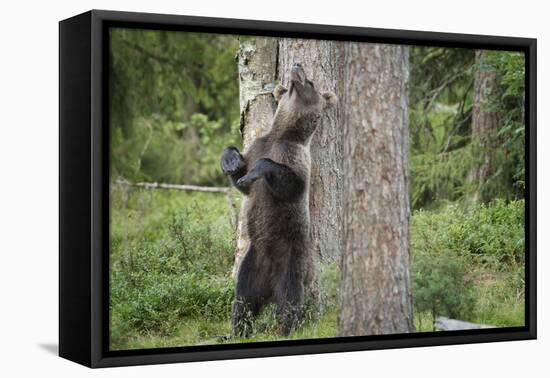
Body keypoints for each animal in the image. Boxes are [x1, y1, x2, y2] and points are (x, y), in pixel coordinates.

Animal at [222, 62, 338, 336]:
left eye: (311, 83)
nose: (297, 65)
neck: (283, 134)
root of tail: (269, 283)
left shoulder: (295, 158)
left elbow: (289, 183)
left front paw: (254, 173)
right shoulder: (257, 146)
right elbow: (241, 176)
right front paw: (231, 161)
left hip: (291, 257)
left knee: (290, 298)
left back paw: (288, 327)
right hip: (252, 263)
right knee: (243, 299)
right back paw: (236, 331)